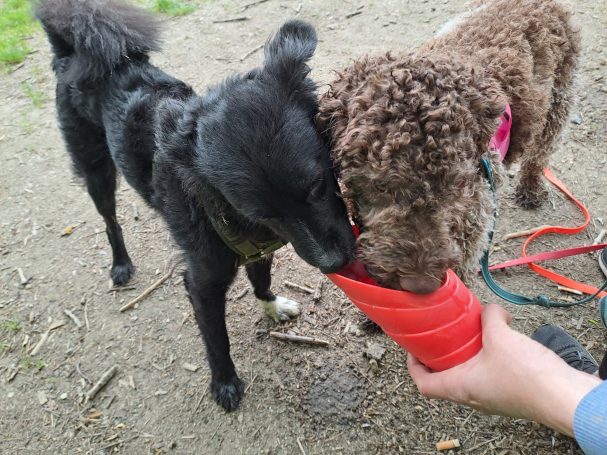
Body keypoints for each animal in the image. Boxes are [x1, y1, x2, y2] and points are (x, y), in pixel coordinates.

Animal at [38, 0, 354, 412]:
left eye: (317, 185)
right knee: (110, 220)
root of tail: (72, 55)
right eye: (262, 213)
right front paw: (224, 383)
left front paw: (270, 306)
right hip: (96, 171)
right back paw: (120, 264)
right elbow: (216, 338)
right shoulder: (203, 280)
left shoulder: (260, 247)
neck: (214, 203)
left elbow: (262, 278)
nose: (333, 263)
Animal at [318, 0, 580, 292]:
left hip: (559, 100)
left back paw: (531, 188)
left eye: (452, 187)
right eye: (380, 185)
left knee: (540, 153)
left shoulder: (475, 215)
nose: (420, 285)